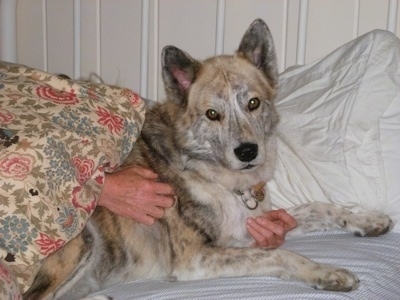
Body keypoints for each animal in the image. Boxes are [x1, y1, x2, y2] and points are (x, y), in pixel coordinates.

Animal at [25, 19, 394, 300]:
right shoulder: (195, 259)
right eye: (212, 114)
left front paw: (366, 220)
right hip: (82, 239)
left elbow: (319, 208)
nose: (247, 152)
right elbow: (280, 252)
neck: (212, 174)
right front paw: (327, 272)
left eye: (254, 103)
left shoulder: (249, 227)